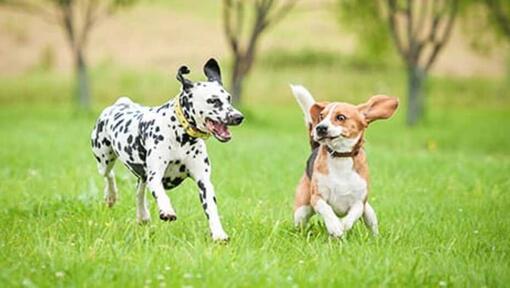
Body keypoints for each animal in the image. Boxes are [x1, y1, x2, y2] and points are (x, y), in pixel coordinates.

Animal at [90, 58, 244, 241]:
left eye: (229, 98)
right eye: (213, 100)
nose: (239, 117)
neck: (181, 136)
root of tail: (120, 103)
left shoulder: (203, 181)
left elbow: (212, 210)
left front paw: (219, 234)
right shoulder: (155, 175)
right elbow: (161, 193)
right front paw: (167, 210)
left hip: (141, 174)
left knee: (139, 191)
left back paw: (142, 215)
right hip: (104, 160)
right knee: (110, 175)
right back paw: (111, 196)